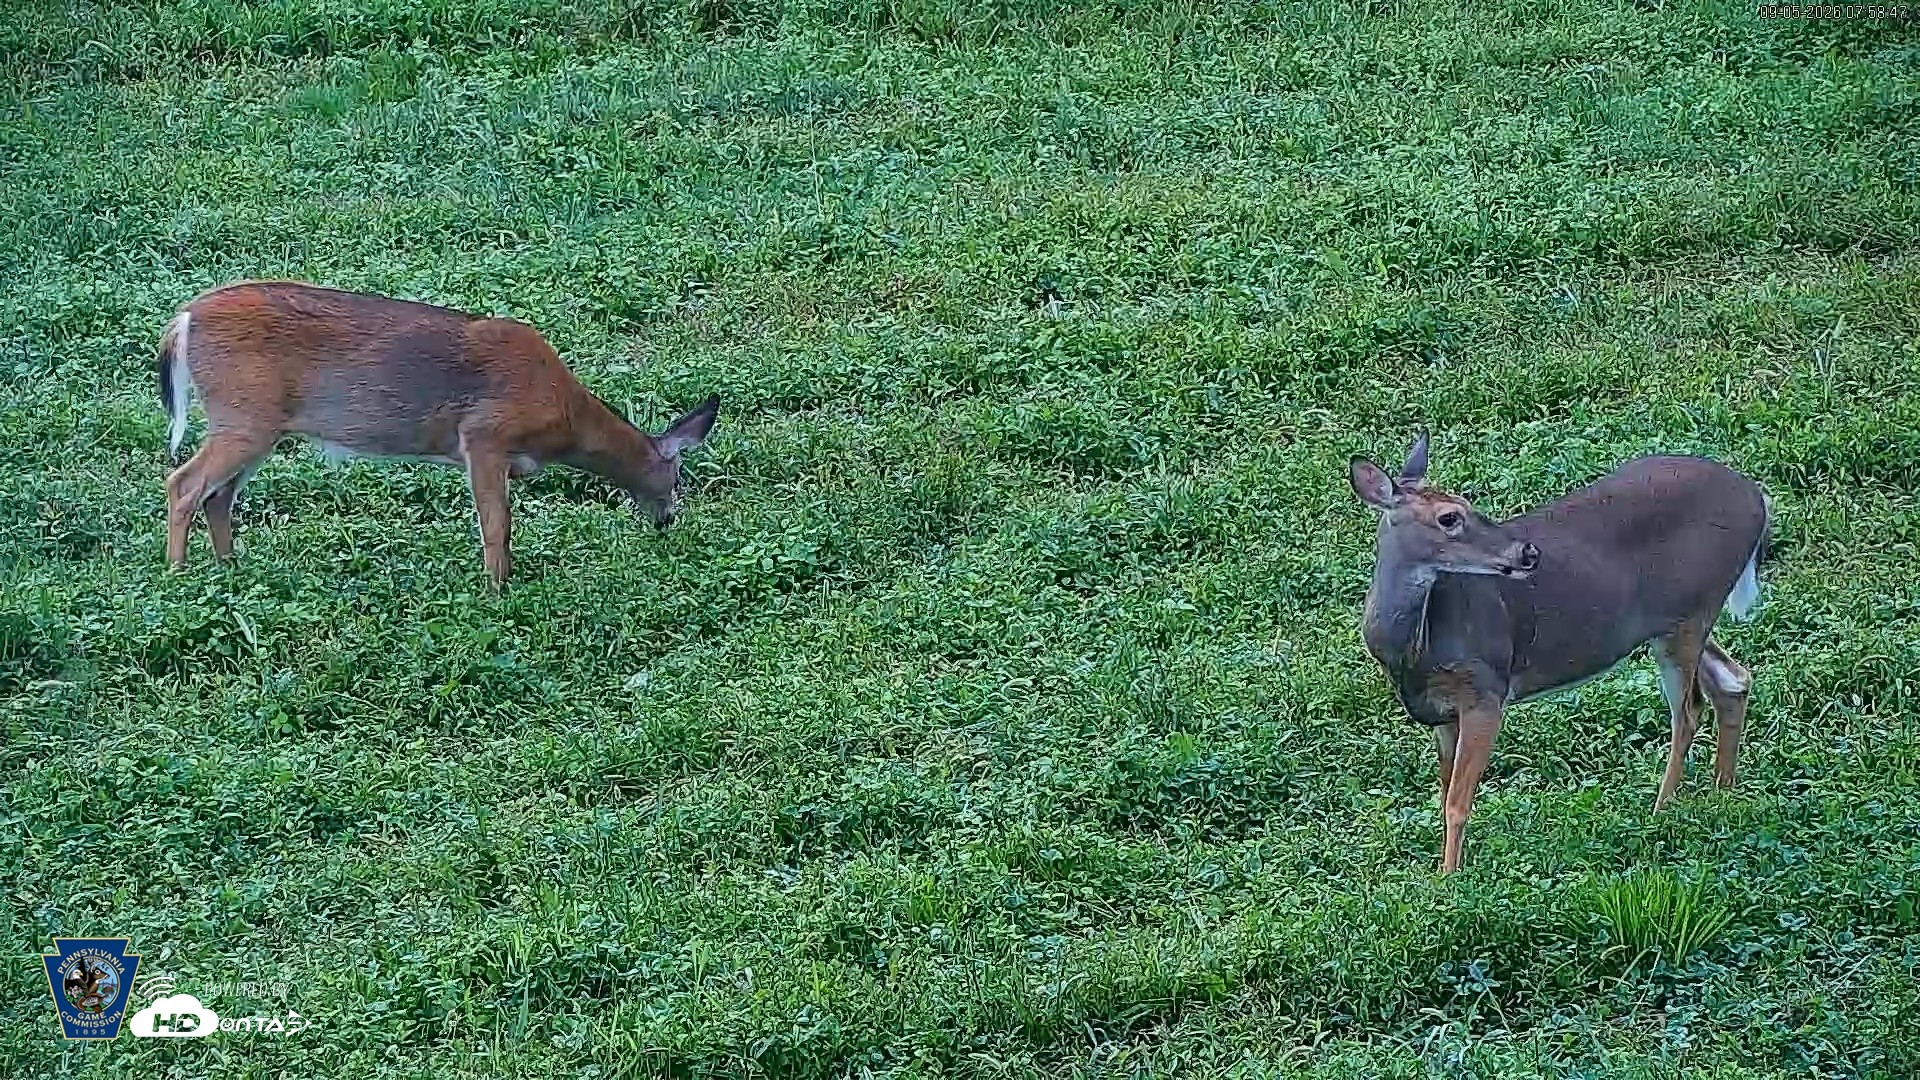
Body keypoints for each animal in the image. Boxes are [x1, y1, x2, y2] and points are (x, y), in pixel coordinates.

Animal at [157, 280, 719, 587]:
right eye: (677, 479)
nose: (668, 520)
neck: (563, 418)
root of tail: (183, 319)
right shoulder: (485, 436)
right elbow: (496, 524)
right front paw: (497, 589)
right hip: (242, 415)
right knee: (183, 484)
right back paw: (177, 577)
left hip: (257, 424)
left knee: (218, 495)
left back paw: (230, 570)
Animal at [1348, 433, 1769, 873]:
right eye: (1449, 517)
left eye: (1465, 502)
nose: (1527, 553)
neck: (1417, 649)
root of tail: (1758, 499)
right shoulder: (1441, 714)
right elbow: (1445, 790)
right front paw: (1441, 869)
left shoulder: (1486, 689)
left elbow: (1457, 804)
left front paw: (1449, 877)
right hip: (1675, 623)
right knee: (1733, 679)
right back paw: (1722, 794)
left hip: (1691, 613)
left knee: (1688, 711)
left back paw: (1661, 812)